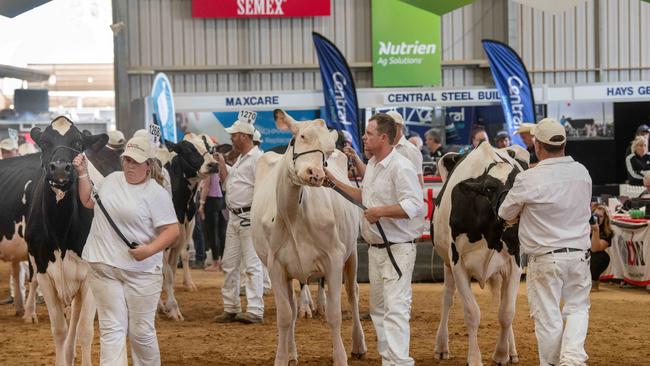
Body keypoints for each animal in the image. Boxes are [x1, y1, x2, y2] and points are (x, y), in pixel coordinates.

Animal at [156, 132, 216, 320]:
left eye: (212, 148)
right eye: (189, 149)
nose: (213, 165)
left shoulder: (181, 238)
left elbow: (171, 271)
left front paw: (166, 307)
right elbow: (166, 274)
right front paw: (174, 309)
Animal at [252, 110, 368, 364]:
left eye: (328, 150)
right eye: (302, 136)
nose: (316, 174)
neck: (293, 215)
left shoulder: (334, 258)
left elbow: (334, 314)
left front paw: (340, 357)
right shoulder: (275, 265)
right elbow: (285, 316)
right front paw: (281, 357)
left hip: (352, 252)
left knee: (353, 295)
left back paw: (358, 344)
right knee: (294, 308)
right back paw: (292, 352)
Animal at [430, 142, 528, 366]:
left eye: (518, 182)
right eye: (489, 189)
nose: (514, 211)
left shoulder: (515, 262)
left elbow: (506, 312)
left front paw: (501, 354)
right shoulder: (458, 263)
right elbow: (472, 313)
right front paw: (474, 358)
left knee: (502, 302)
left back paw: (512, 350)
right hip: (446, 262)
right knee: (447, 298)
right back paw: (441, 346)